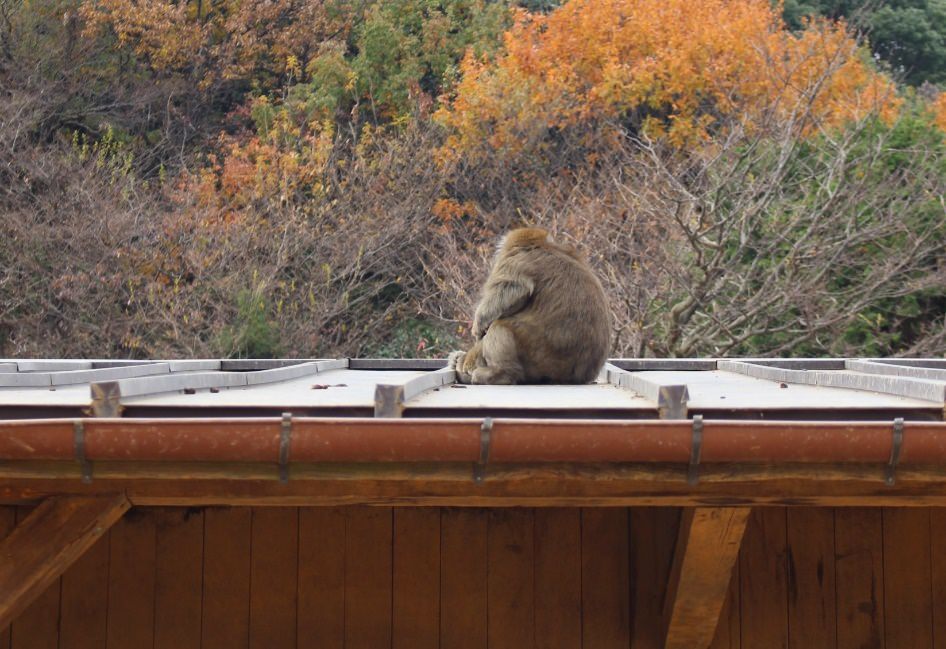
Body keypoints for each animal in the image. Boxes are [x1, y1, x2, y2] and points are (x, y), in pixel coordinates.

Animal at [446, 225, 608, 382]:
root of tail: (580, 375)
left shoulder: (515, 260)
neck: (543, 246)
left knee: (500, 327)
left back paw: (501, 374)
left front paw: (478, 325)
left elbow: (515, 289)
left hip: (541, 357)